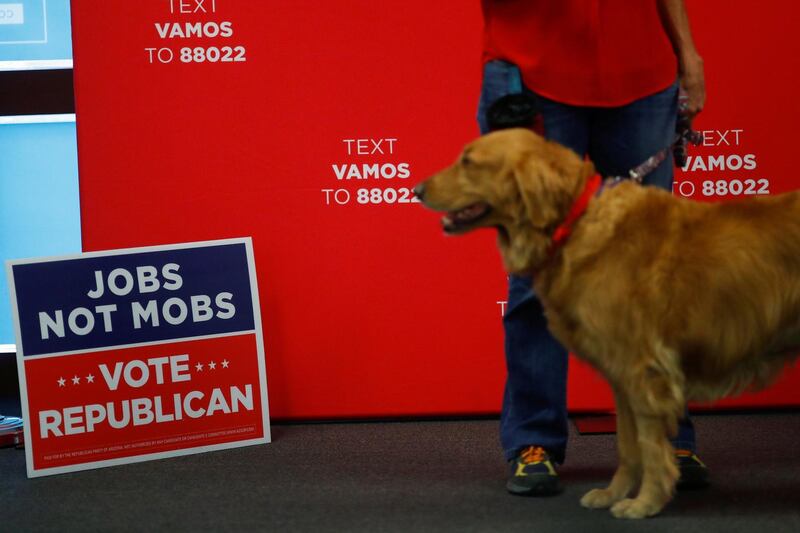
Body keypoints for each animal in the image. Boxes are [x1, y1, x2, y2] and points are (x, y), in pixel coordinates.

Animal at [416, 128, 800, 516]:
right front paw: (614, 493)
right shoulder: (623, 375)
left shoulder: (644, 370)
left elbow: (649, 446)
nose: (417, 190)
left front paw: (645, 503)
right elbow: (628, 446)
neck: (576, 221)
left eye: (468, 161)